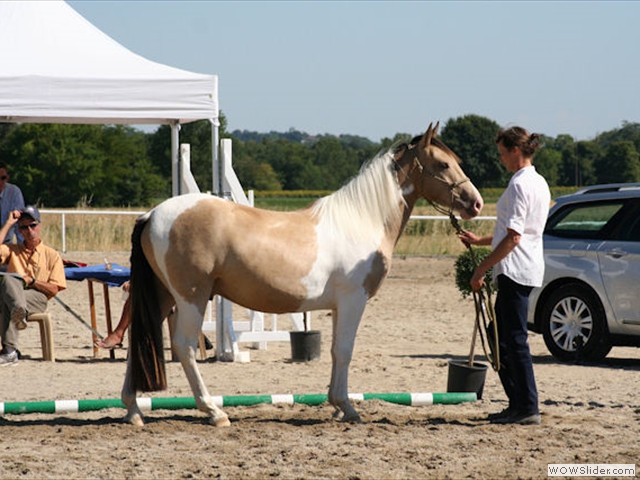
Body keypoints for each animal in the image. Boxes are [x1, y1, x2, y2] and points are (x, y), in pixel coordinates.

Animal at [120, 124, 482, 428]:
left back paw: (134, 410)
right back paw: (214, 411)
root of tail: (151, 215)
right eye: (443, 165)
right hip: (191, 298)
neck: (360, 220)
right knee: (184, 347)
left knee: (140, 340)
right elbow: (345, 350)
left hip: (163, 296)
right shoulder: (353, 300)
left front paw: (337, 404)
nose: (476, 203)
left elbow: (336, 350)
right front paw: (347, 408)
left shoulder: (338, 306)